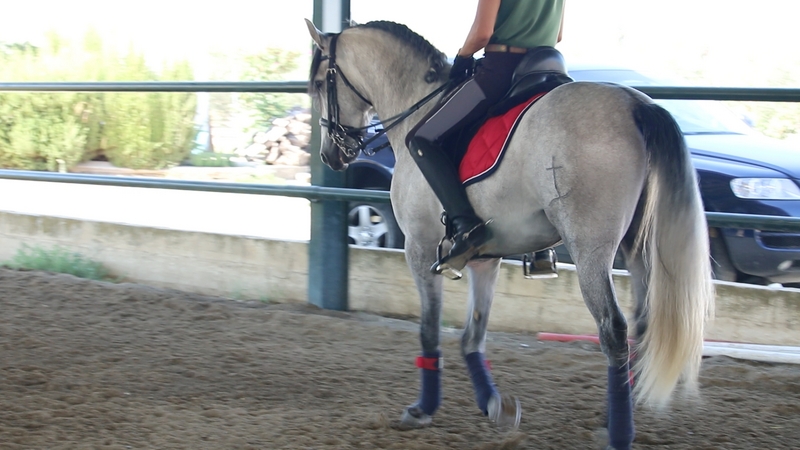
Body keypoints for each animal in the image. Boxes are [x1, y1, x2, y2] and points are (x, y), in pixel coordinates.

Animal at [305, 19, 714, 450]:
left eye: (317, 83)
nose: (331, 155)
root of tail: (636, 105)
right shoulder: (485, 257)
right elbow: (472, 334)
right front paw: (494, 405)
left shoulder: (418, 249)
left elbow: (429, 331)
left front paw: (422, 410)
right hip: (637, 250)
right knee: (642, 325)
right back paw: (619, 415)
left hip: (591, 250)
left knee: (614, 331)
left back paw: (619, 433)